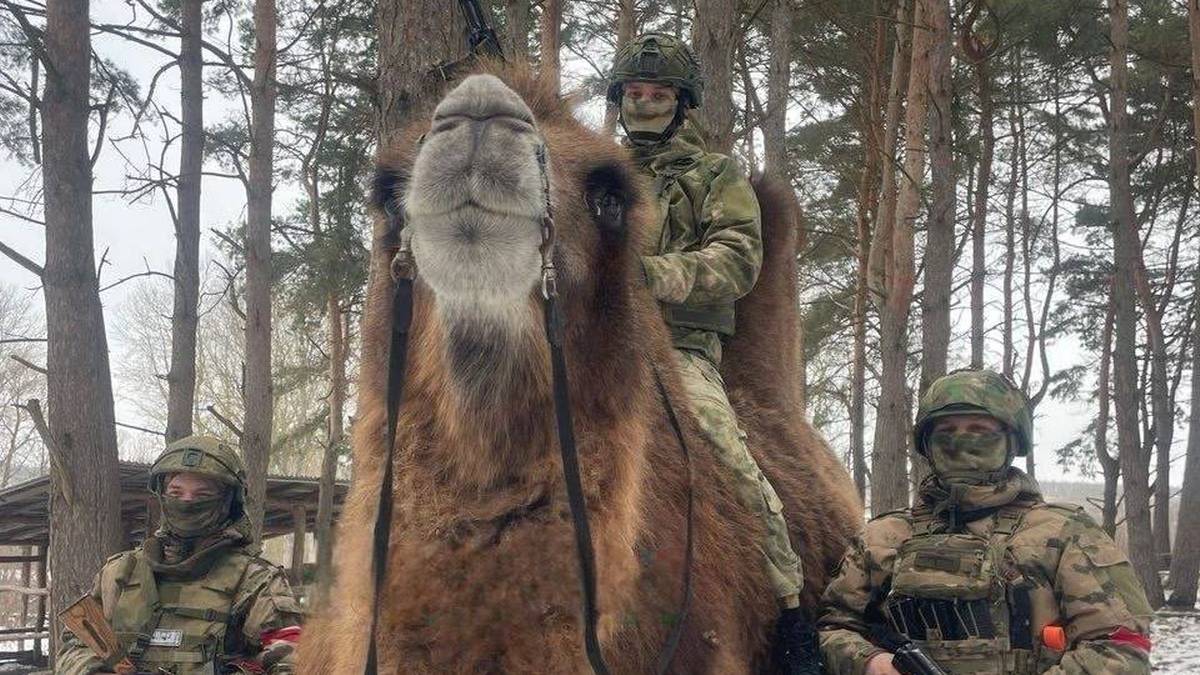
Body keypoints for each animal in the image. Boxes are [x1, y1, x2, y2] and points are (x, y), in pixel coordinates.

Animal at [56, 437, 304, 672]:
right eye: (177, 492)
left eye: (202, 494)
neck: (184, 556)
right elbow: (74, 643)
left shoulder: (272, 584)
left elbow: (285, 656)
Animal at [816, 367, 1152, 672]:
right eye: (947, 430)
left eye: (979, 429)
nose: (960, 447)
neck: (964, 507)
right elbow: (838, 619)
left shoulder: (1083, 532)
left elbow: (1111, 636)